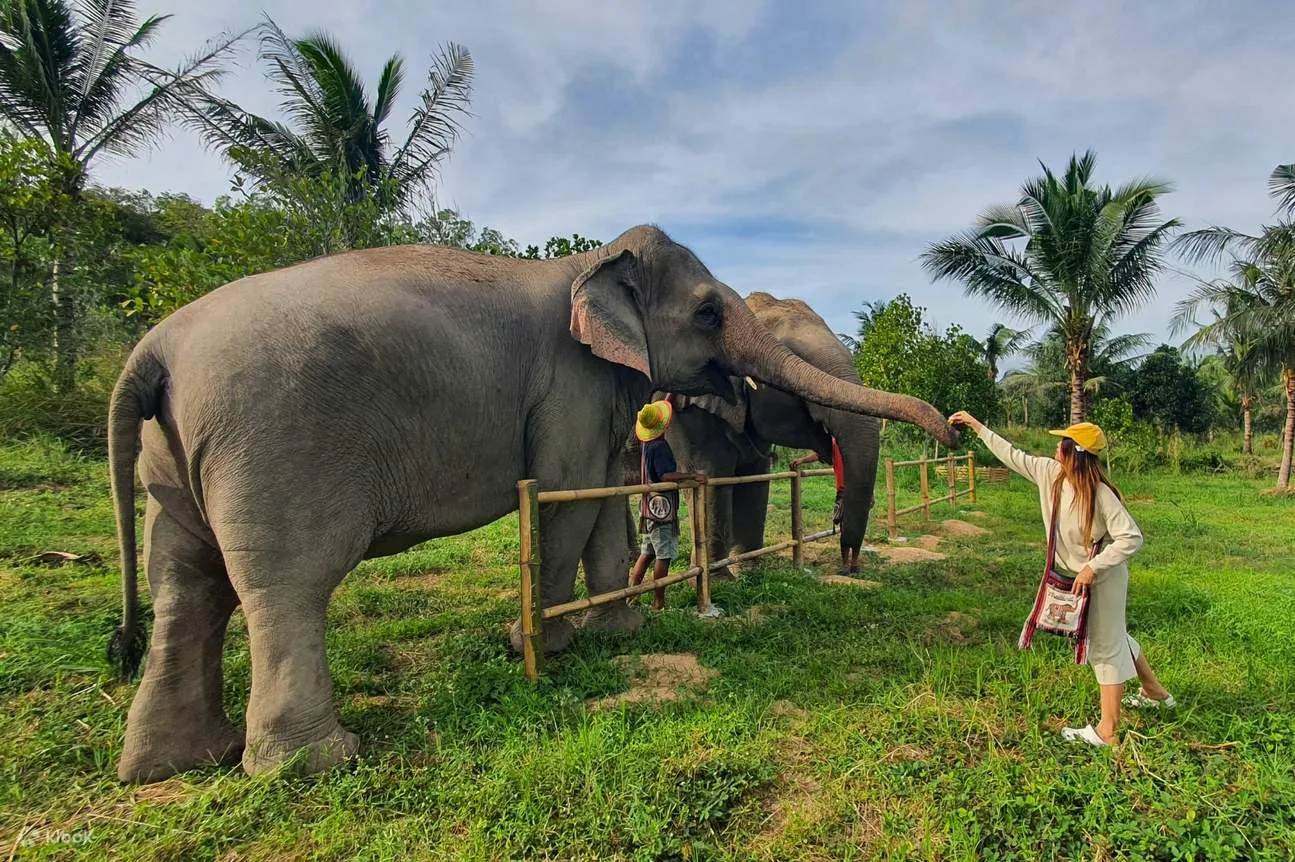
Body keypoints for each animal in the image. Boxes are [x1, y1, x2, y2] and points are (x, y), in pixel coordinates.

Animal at [659, 292, 880, 577]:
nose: (849, 568)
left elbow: (755, 476)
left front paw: (750, 569)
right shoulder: (689, 410)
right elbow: (708, 475)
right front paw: (721, 579)